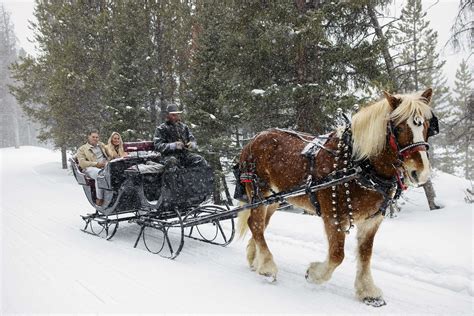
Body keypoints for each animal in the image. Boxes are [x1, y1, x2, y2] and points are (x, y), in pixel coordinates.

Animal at [237, 88, 436, 306]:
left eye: (427, 126)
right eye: (399, 128)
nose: (421, 172)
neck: (359, 166)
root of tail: (253, 140)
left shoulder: (372, 220)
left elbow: (365, 254)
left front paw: (368, 291)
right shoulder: (334, 216)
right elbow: (337, 255)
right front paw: (314, 274)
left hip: (273, 200)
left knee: (258, 225)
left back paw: (254, 258)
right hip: (259, 192)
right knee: (256, 224)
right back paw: (267, 266)